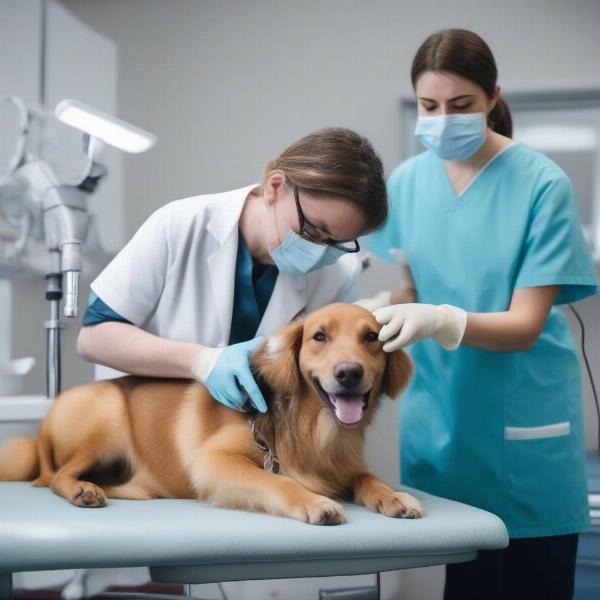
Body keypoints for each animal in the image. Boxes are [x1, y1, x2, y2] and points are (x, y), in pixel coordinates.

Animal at [0, 302, 422, 524]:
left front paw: (394, 495)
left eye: (372, 337)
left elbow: (367, 477)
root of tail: (42, 429)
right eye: (320, 336)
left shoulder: (346, 466)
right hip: (106, 416)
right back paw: (83, 490)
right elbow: (276, 481)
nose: (349, 373)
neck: (314, 431)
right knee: (57, 476)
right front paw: (314, 501)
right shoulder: (214, 461)